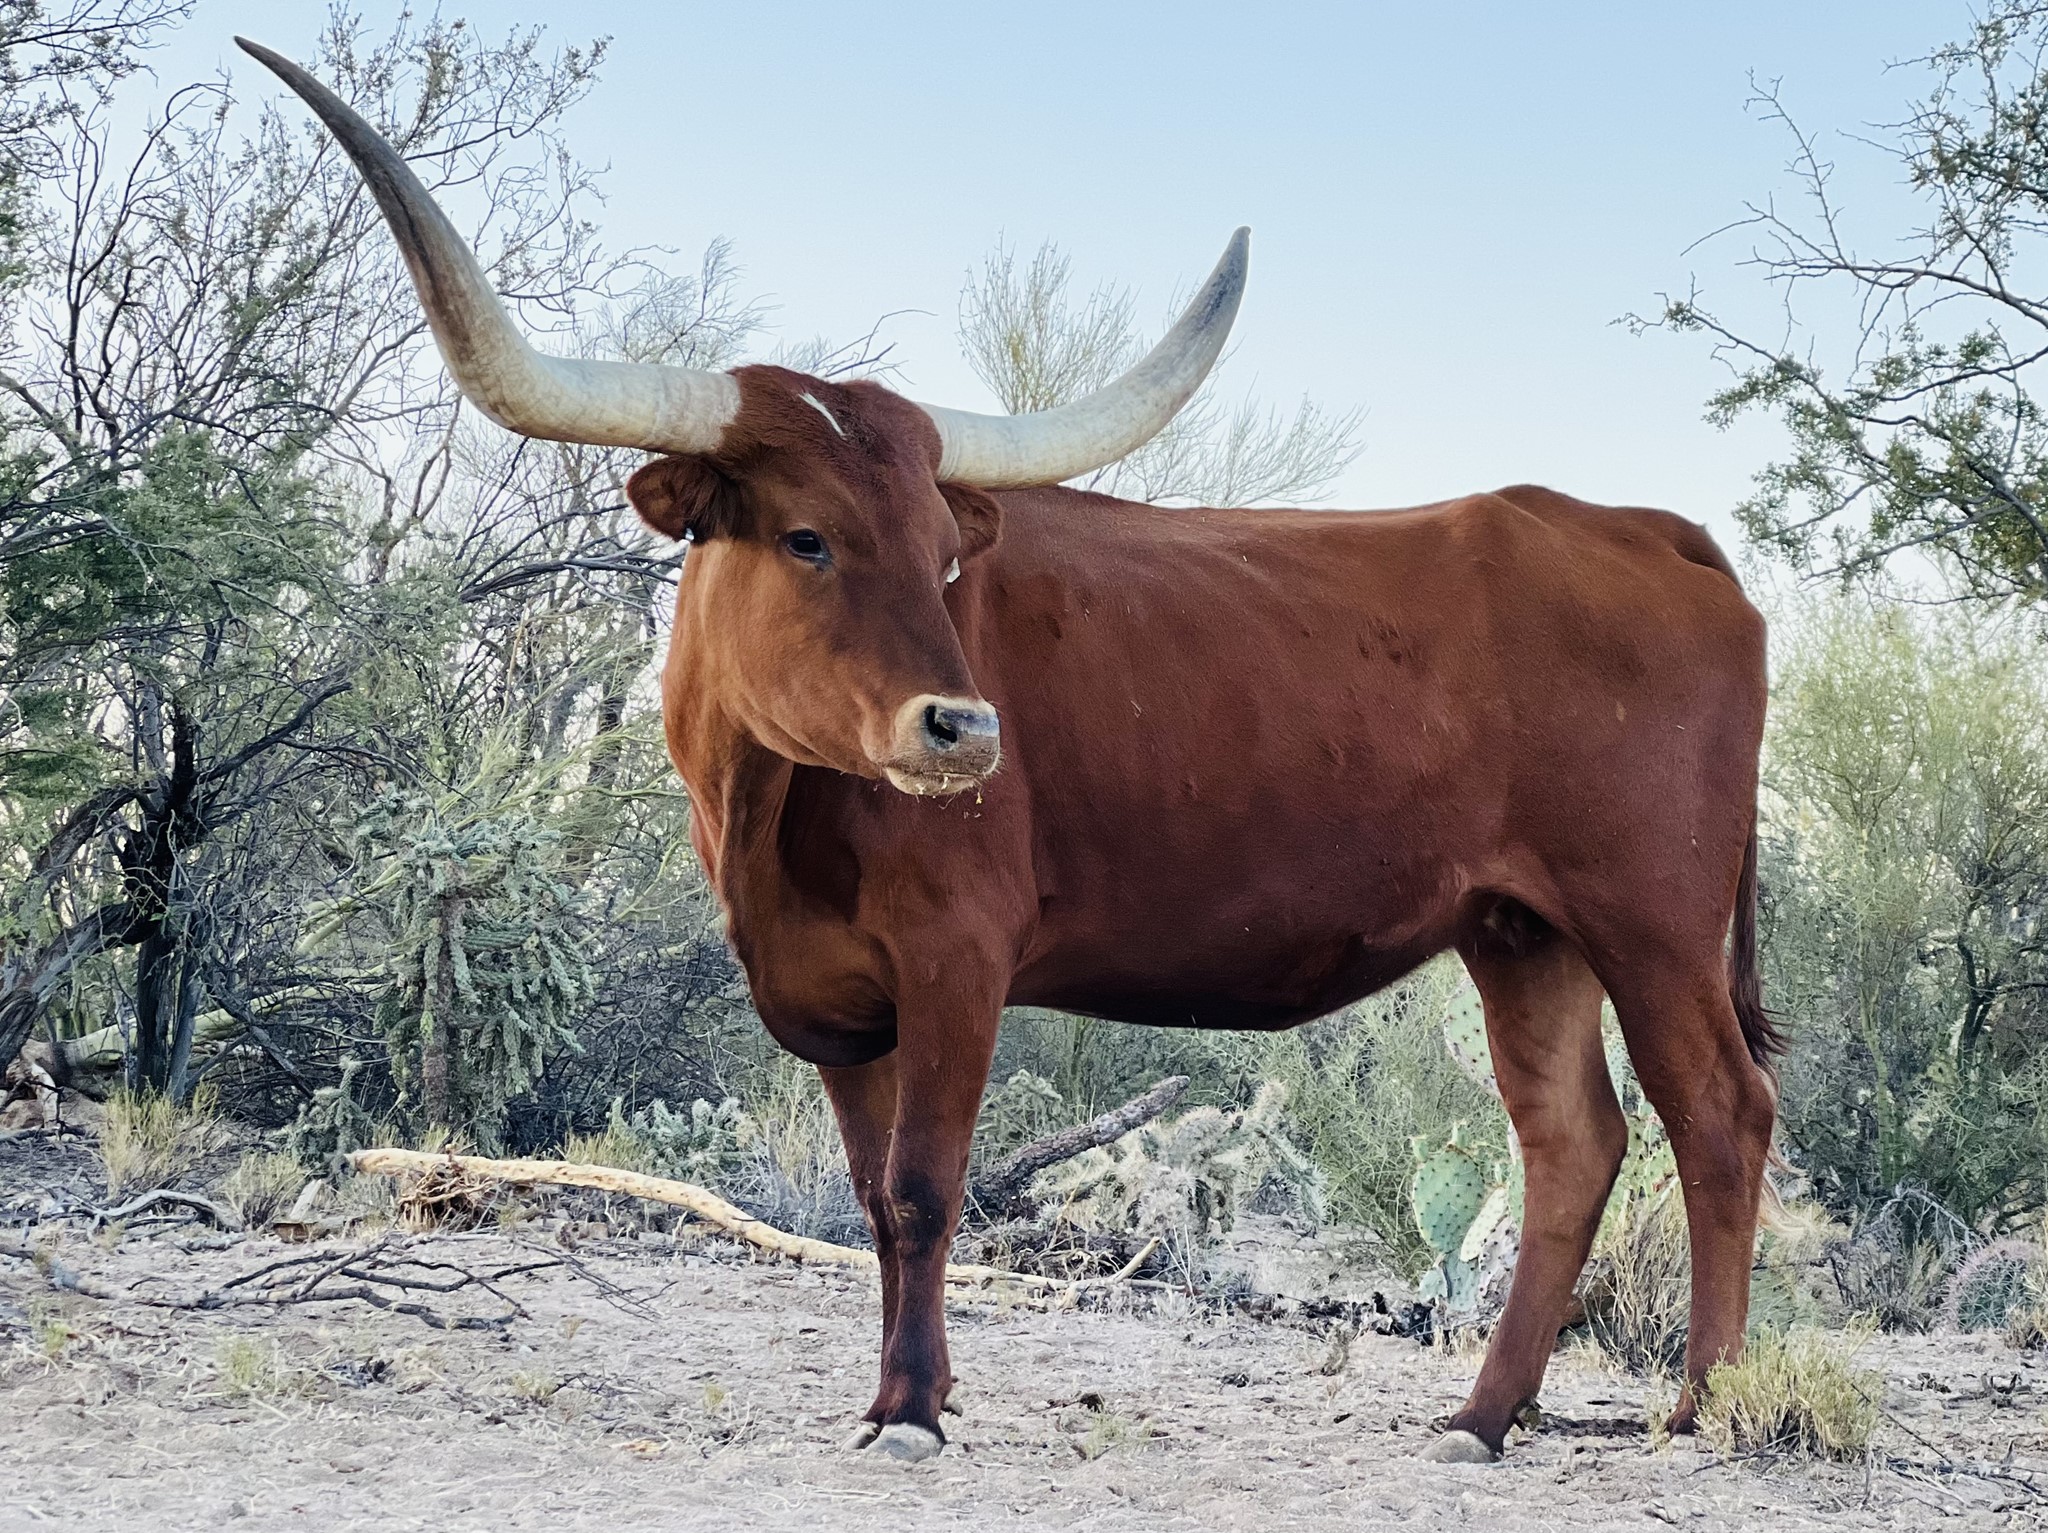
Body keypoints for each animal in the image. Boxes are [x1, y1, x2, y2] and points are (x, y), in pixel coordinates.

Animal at [244, 39, 1779, 1469]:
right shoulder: (839, 1004)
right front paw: (895, 1390)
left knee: (1719, 1115)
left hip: (1651, 919)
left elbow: (932, 1188)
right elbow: (876, 1202)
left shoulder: (956, 959)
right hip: (1522, 931)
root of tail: (1640, 527)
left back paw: (1702, 1405)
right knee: (1571, 1145)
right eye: (806, 536)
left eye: (941, 550)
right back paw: (1481, 1416)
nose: (963, 726)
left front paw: (913, 1408)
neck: (766, 820)